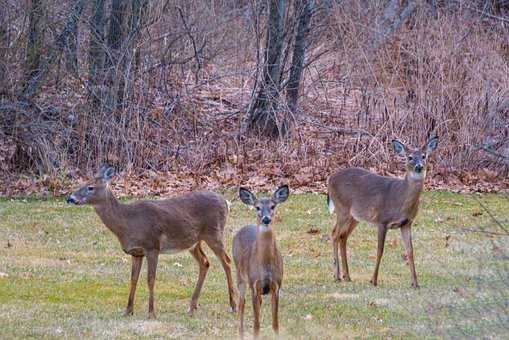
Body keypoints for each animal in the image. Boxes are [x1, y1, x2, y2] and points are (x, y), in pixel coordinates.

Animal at [65, 166, 236, 320]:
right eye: (83, 183)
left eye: (90, 187)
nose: (70, 198)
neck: (127, 222)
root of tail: (226, 202)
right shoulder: (136, 252)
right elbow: (133, 279)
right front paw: (128, 311)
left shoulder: (152, 246)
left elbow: (150, 279)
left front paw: (151, 313)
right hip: (194, 242)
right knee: (205, 262)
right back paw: (191, 307)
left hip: (214, 232)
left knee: (226, 261)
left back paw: (233, 306)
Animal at [231, 186, 288, 338]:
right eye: (257, 207)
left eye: (273, 206)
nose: (266, 219)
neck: (265, 265)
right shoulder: (254, 285)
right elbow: (256, 326)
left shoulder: (276, 285)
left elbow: (275, 324)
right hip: (240, 277)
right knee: (241, 304)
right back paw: (240, 333)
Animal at [328, 135, 438, 286]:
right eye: (409, 157)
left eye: (424, 156)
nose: (419, 166)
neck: (401, 198)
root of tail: (330, 179)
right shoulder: (382, 220)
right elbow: (380, 250)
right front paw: (373, 280)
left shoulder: (406, 223)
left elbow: (410, 251)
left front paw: (415, 283)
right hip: (342, 209)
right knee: (334, 234)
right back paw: (337, 275)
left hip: (355, 216)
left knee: (343, 236)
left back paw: (347, 276)